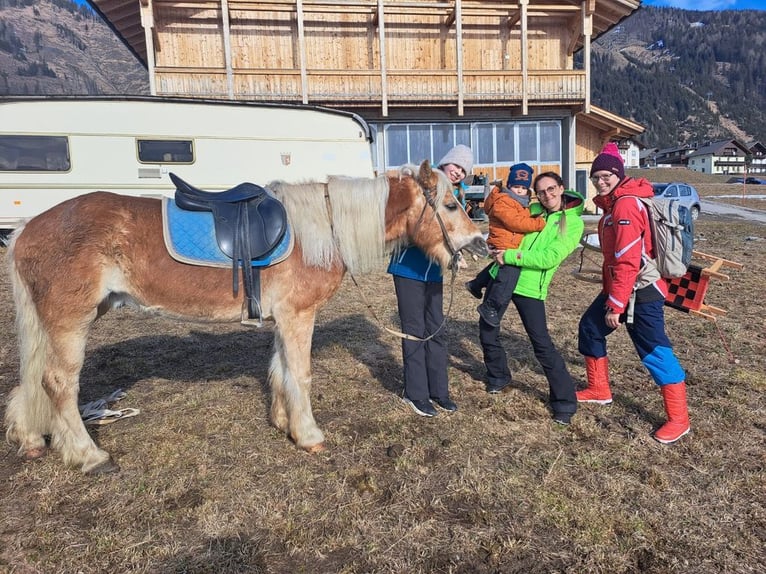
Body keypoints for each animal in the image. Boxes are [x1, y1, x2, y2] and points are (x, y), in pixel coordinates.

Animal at [4, 160, 486, 474]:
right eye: (448, 205)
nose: (478, 244)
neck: (323, 227)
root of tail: (28, 229)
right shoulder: (298, 315)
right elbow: (300, 374)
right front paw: (309, 435)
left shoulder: (284, 319)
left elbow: (280, 370)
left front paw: (283, 423)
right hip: (72, 322)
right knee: (58, 383)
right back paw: (90, 456)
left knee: (32, 382)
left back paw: (32, 440)